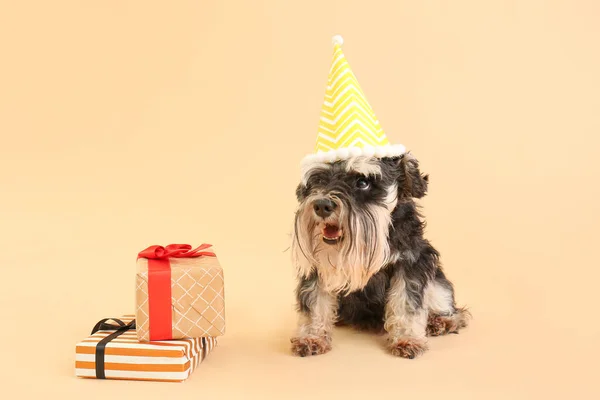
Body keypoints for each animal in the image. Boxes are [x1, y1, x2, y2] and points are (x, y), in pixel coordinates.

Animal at [290, 153, 468, 360]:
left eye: (363, 182)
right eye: (317, 179)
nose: (321, 205)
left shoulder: (411, 262)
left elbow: (406, 302)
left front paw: (407, 339)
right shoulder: (316, 267)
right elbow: (314, 302)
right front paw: (311, 337)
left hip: (437, 282)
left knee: (453, 307)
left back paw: (442, 321)